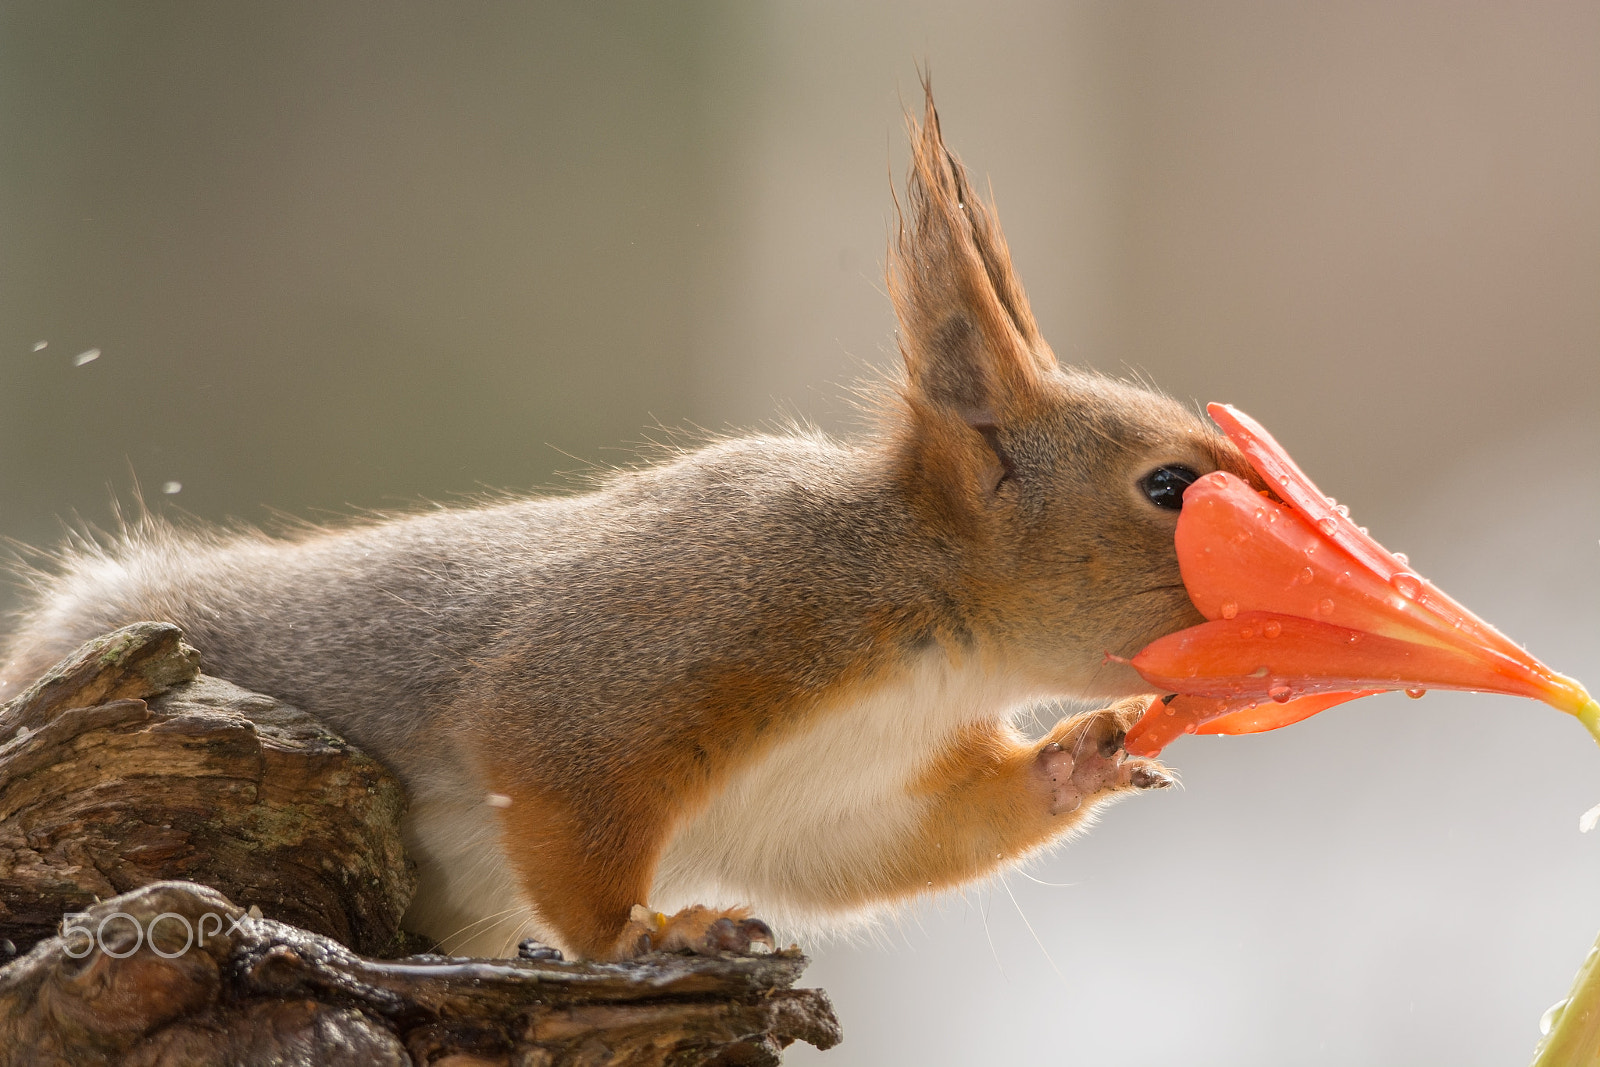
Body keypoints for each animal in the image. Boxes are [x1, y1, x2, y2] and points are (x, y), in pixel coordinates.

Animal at [0, 89, 1248, 959]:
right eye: (1167, 485)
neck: (936, 637)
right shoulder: (670, 630)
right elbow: (556, 783)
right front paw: (649, 932)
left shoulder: (844, 792)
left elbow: (898, 843)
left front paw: (1082, 756)